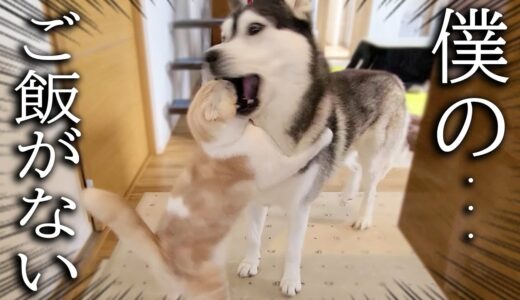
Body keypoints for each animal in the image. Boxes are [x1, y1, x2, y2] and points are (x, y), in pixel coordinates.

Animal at [205, 0, 408, 296]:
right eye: (224, 36)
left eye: (254, 28)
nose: (208, 56)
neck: (271, 132)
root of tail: (391, 76)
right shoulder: (255, 198)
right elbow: (253, 236)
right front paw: (250, 262)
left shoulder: (300, 207)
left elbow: (292, 249)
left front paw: (290, 280)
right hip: (341, 147)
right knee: (354, 166)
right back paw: (347, 194)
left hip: (374, 154)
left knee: (371, 185)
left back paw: (363, 217)